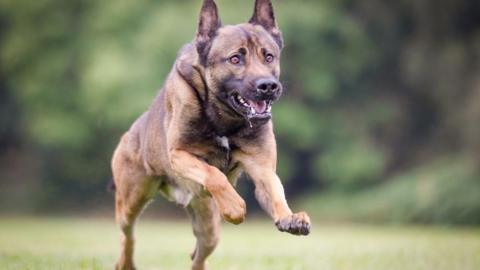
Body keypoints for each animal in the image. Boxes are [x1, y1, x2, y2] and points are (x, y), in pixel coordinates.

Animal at [110, 1, 310, 268]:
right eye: (235, 58)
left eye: (269, 56)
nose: (268, 86)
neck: (224, 118)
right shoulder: (179, 154)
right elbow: (213, 174)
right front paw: (234, 207)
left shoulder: (262, 168)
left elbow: (275, 192)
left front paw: (290, 217)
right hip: (130, 201)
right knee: (128, 234)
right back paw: (126, 262)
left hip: (208, 228)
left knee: (198, 257)